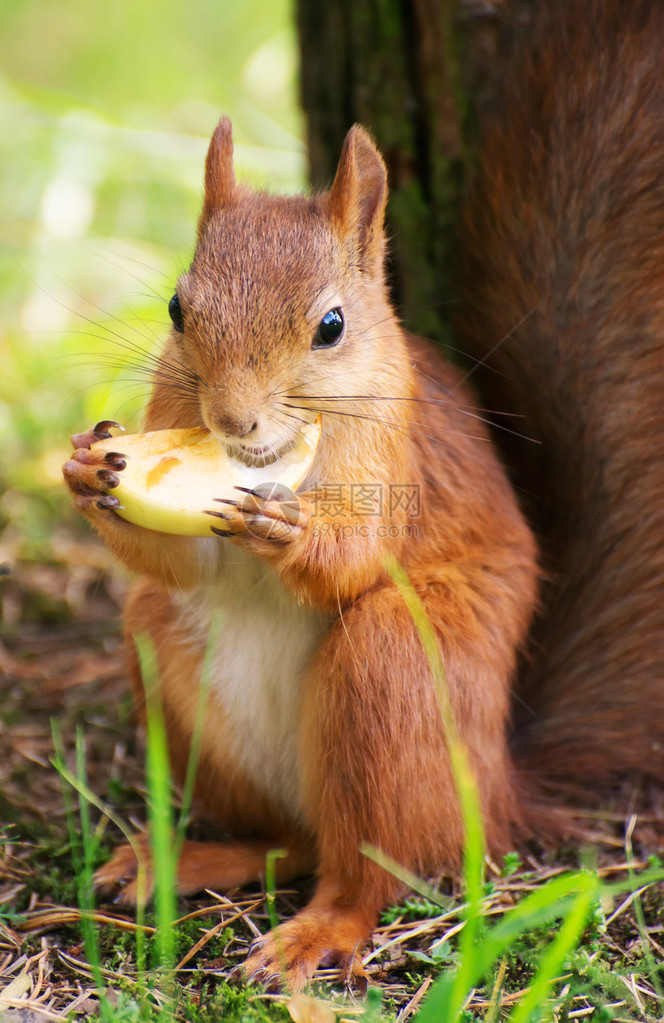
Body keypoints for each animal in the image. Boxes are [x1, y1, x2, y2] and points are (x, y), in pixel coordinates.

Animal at [63, 117, 540, 982]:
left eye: (332, 326)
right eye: (176, 306)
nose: (232, 419)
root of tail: (502, 795)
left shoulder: (392, 453)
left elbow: (358, 558)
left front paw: (293, 531)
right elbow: (186, 562)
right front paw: (86, 469)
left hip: (395, 669)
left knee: (363, 874)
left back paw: (314, 933)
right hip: (168, 662)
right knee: (289, 843)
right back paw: (178, 860)